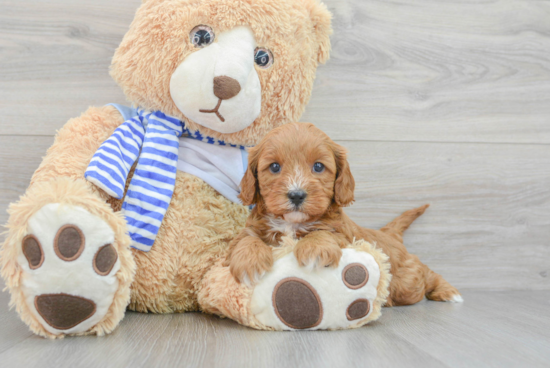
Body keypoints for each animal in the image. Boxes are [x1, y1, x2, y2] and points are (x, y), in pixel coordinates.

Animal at [226, 122, 464, 306]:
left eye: (318, 167)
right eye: (274, 167)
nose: (296, 195)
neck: (292, 224)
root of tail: (388, 234)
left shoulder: (344, 237)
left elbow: (324, 233)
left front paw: (315, 249)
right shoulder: (249, 230)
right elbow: (245, 240)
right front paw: (250, 262)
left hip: (406, 282)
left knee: (424, 273)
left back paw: (448, 291)